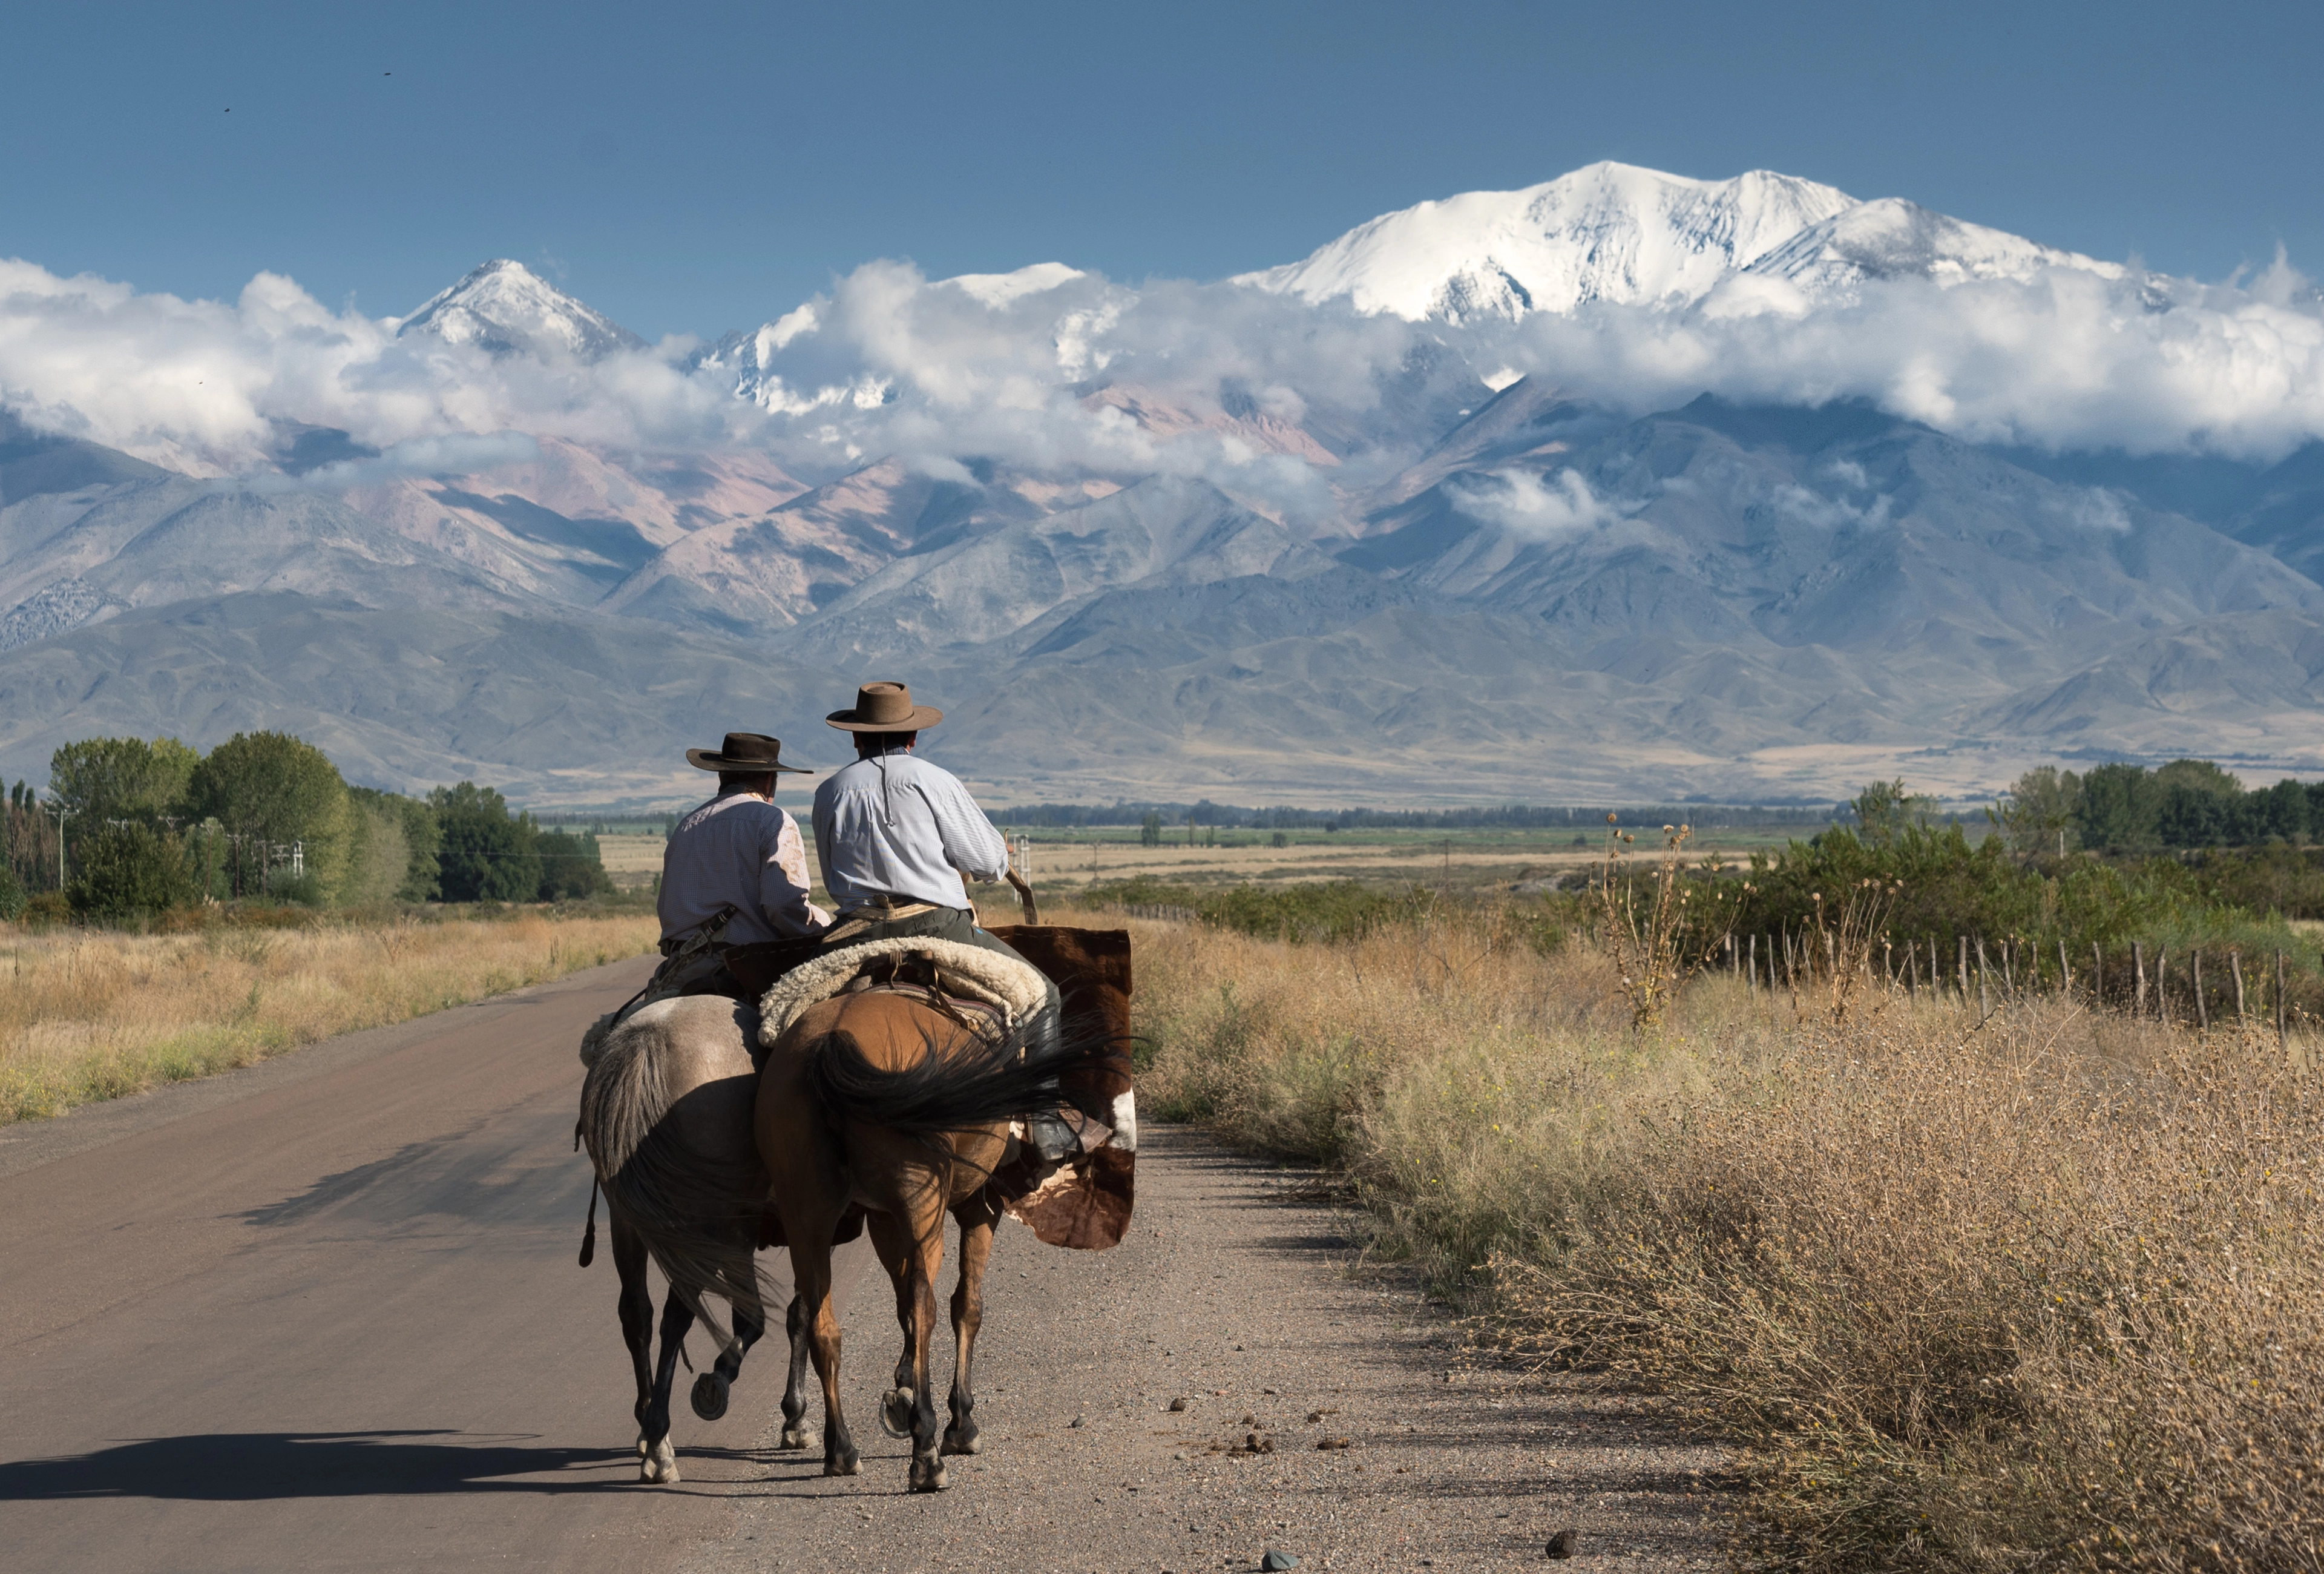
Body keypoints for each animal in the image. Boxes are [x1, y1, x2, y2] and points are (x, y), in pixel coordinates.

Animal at [757, 990, 1111, 1487]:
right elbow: (965, 1306)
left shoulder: (884, 1218)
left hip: (806, 1214)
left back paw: (840, 1448)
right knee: (925, 1306)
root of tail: (832, 1039)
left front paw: (903, 1390)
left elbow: (900, 1300)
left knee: (823, 1323)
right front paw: (959, 1422)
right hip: (921, 1204)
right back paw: (926, 1453)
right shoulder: (979, 1206)